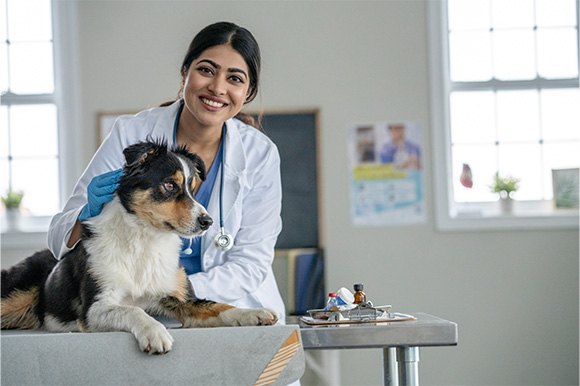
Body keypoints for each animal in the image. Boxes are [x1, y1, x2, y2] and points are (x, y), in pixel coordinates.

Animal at [1, 140, 278, 354]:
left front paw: (252, 313)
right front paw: (155, 332)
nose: (207, 222)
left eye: (192, 188)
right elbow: (132, 310)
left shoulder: (178, 298)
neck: (144, 239)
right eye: (170, 185)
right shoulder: (94, 308)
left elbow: (217, 306)